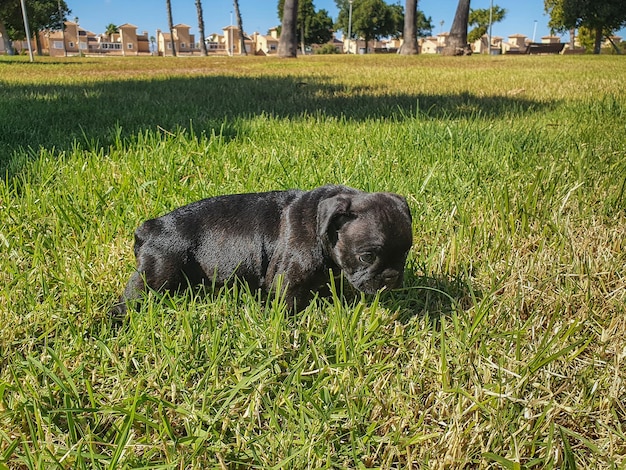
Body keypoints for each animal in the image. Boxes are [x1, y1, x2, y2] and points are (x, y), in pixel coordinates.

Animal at [112, 185, 412, 314]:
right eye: (367, 256)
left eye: (406, 254)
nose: (391, 276)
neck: (320, 224)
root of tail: (151, 228)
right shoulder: (287, 281)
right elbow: (288, 306)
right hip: (156, 276)